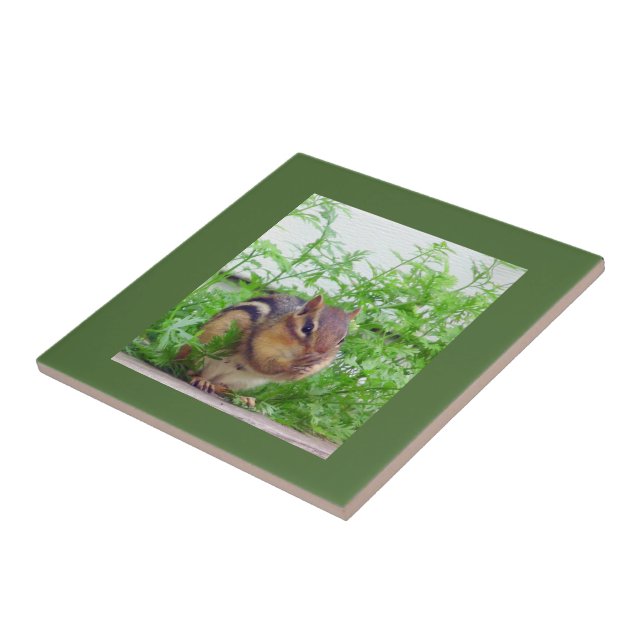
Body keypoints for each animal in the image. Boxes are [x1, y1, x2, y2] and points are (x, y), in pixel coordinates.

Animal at [177, 294, 360, 407]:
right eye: (307, 328)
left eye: (341, 340)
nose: (321, 353)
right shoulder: (260, 342)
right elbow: (262, 361)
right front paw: (292, 364)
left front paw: (304, 369)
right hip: (206, 348)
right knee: (187, 369)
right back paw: (201, 380)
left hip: (243, 380)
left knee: (222, 387)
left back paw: (243, 398)